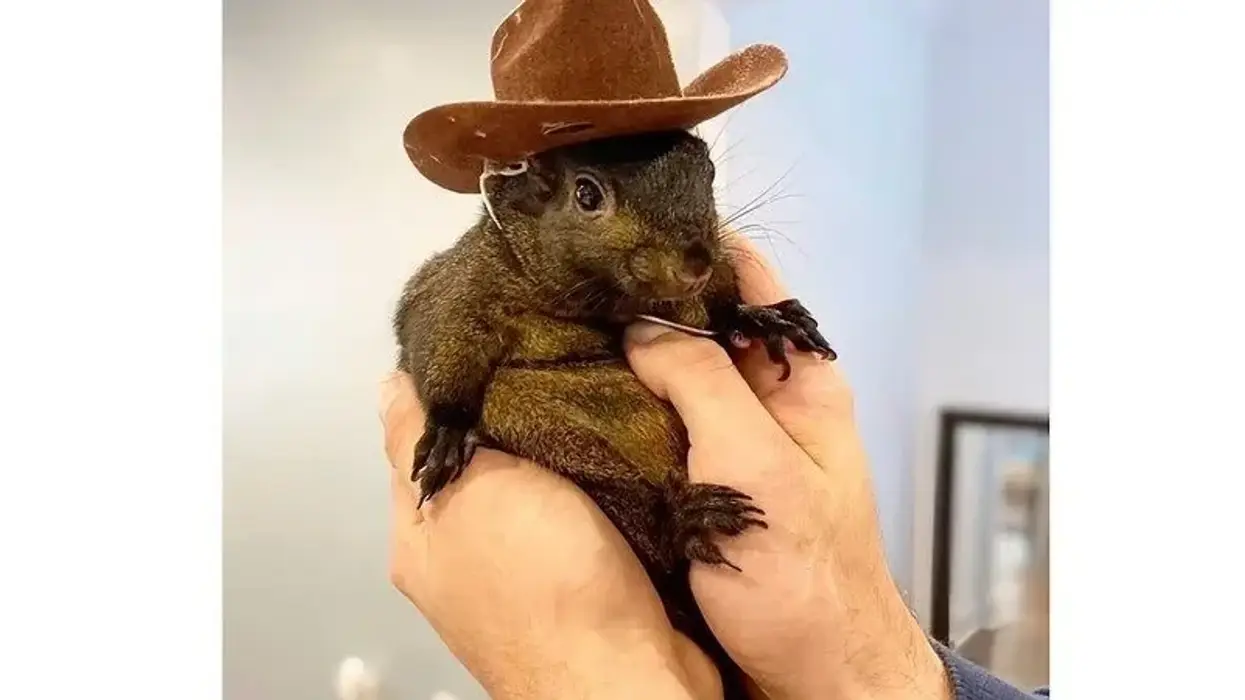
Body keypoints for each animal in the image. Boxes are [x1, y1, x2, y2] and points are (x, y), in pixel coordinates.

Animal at [393, 129, 835, 699]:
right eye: (586, 194)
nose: (696, 261)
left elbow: (720, 309)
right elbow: (439, 341)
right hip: (537, 426)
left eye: (708, 169)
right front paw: (447, 432)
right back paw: (681, 522)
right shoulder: (459, 288)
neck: (605, 303)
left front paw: (763, 318)